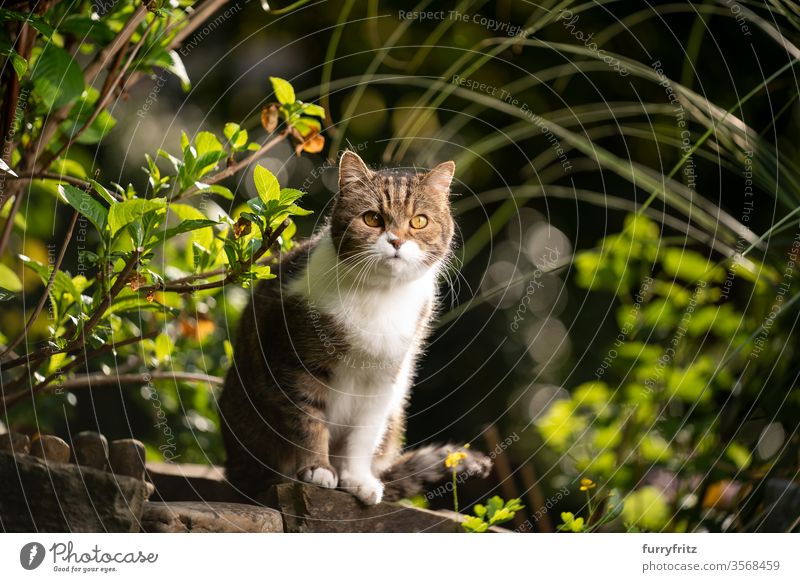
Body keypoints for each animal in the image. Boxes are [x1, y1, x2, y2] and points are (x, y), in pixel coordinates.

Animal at [222, 151, 490, 506]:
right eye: (372, 218)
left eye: (419, 221)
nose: (396, 240)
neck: (379, 296)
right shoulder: (295, 359)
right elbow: (307, 419)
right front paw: (318, 470)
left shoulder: (385, 377)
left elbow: (364, 434)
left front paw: (358, 479)